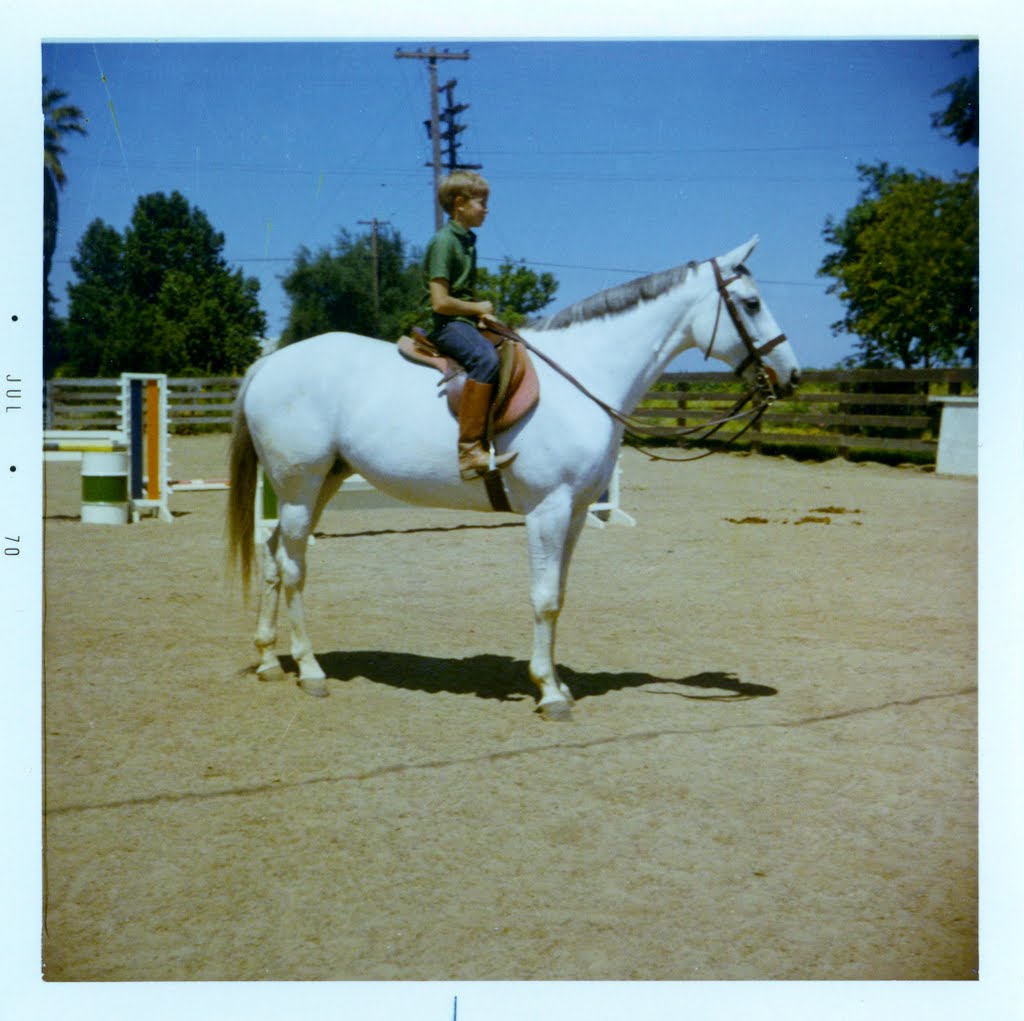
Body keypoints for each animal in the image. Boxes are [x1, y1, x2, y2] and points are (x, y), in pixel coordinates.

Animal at [228, 236, 802, 716]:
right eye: (751, 303)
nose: (791, 376)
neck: (583, 375)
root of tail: (270, 364)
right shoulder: (548, 511)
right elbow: (544, 597)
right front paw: (549, 693)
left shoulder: (575, 513)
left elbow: (559, 595)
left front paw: (557, 682)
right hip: (300, 486)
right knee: (294, 567)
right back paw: (310, 670)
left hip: (319, 483)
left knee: (274, 557)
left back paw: (268, 660)